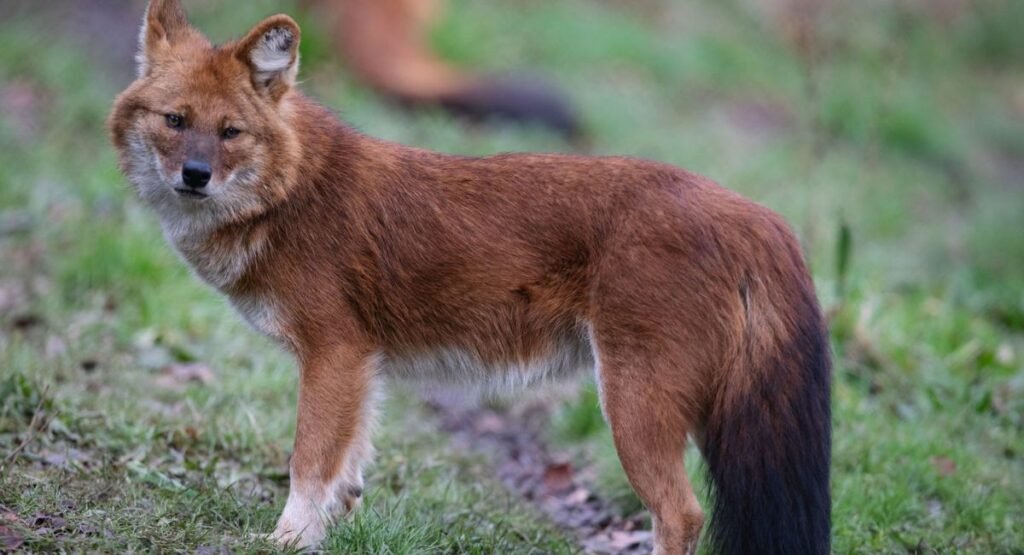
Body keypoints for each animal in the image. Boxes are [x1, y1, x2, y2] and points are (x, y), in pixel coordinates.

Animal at [108, 1, 832, 554]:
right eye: (175, 120)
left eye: (230, 131)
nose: (194, 176)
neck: (291, 194)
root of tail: (755, 213)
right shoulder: (361, 363)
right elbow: (348, 465)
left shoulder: (333, 350)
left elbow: (308, 461)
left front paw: (285, 540)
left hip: (634, 401)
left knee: (681, 513)